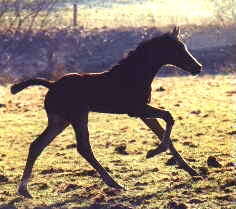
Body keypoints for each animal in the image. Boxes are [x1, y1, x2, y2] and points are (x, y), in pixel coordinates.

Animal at [11, 27, 202, 198]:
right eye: (178, 49)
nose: (198, 67)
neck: (134, 74)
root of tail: (51, 85)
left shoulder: (143, 113)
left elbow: (163, 133)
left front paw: (192, 171)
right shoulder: (136, 109)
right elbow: (169, 117)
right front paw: (153, 152)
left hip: (60, 121)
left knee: (37, 145)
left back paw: (24, 190)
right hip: (78, 116)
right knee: (83, 147)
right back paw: (114, 183)